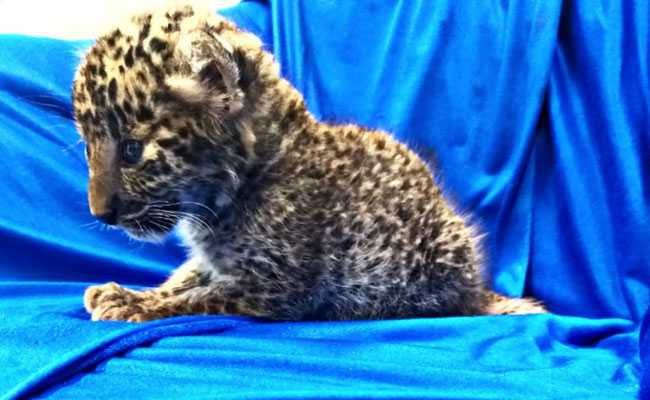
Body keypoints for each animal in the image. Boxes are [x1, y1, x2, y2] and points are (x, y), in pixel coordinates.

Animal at [72, 5, 546, 322]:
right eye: (87, 147)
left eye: (131, 150)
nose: (100, 213)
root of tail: (475, 288)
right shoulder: (216, 263)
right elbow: (186, 276)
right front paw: (130, 290)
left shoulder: (274, 286)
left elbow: (198, 297)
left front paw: (132, 303)